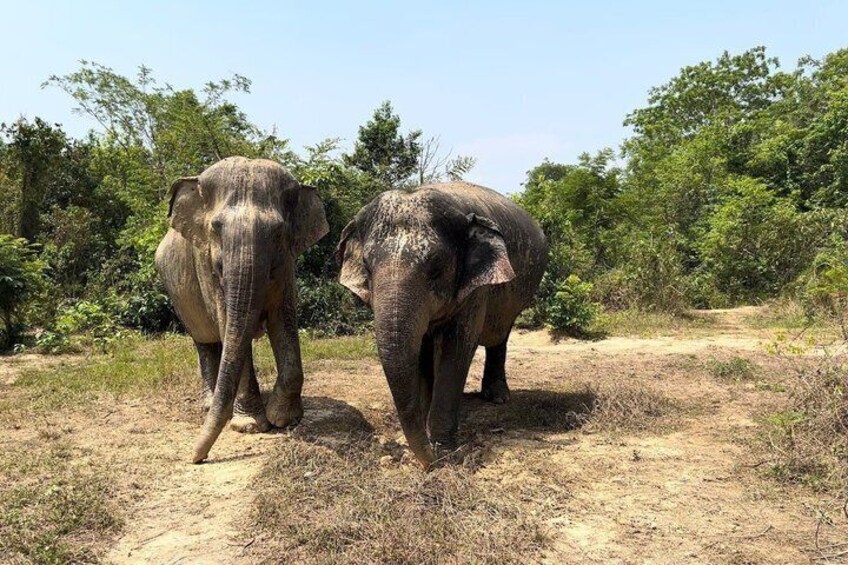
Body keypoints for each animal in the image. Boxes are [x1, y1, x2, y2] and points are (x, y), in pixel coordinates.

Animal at [155, 157, 329, 463]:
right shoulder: (207, 267)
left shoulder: (286, 265)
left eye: (278, 231)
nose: (196, 458)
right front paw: (249, 426)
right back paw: (209, 404)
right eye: (215, 228)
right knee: (205, 342)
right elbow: (229, 327)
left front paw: (283, 419)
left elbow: (283, 321)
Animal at [336, 181, 547, 466]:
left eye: (436, 266)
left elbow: (456, 349)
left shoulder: (476, 290)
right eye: (367, 267)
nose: (430, 462)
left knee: (500, 335)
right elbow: (421, 351)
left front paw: (444, 450)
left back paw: (497, 398)